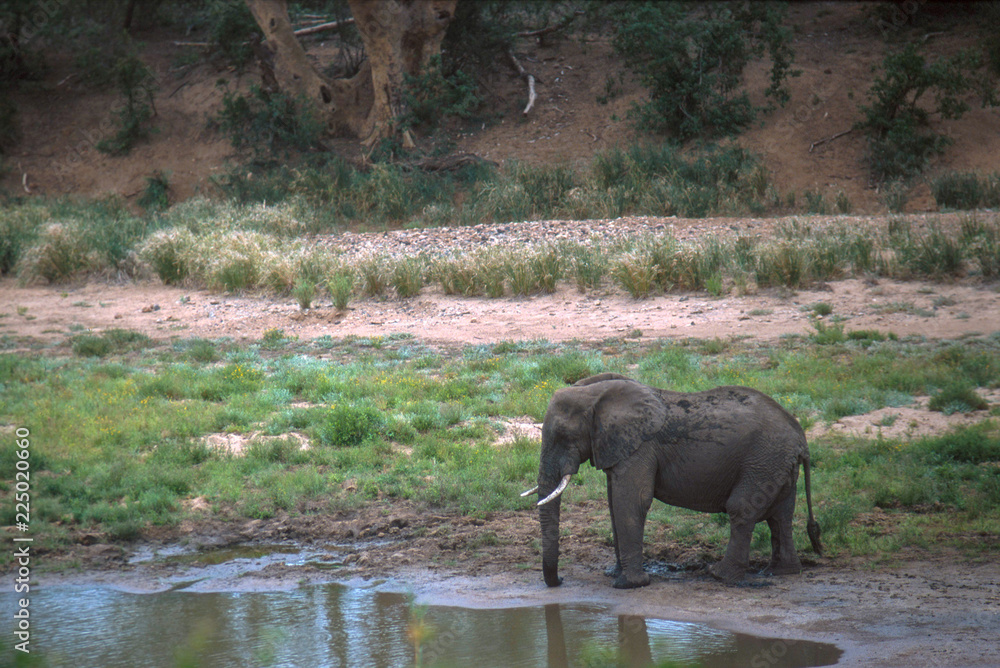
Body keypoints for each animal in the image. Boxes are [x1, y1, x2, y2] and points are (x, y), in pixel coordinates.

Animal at [522, 373, 822, 589]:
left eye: (563, 436)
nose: (560, 580)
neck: (594, 394)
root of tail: (801, 439)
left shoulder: (641, 447)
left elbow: (631, 501)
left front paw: (628, 585)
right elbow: (613, 503)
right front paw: (614, 574)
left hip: (763, 460)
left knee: (742, 509)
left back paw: (719, 575)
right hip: (777, 465)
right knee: (781, 515)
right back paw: (781, 572)